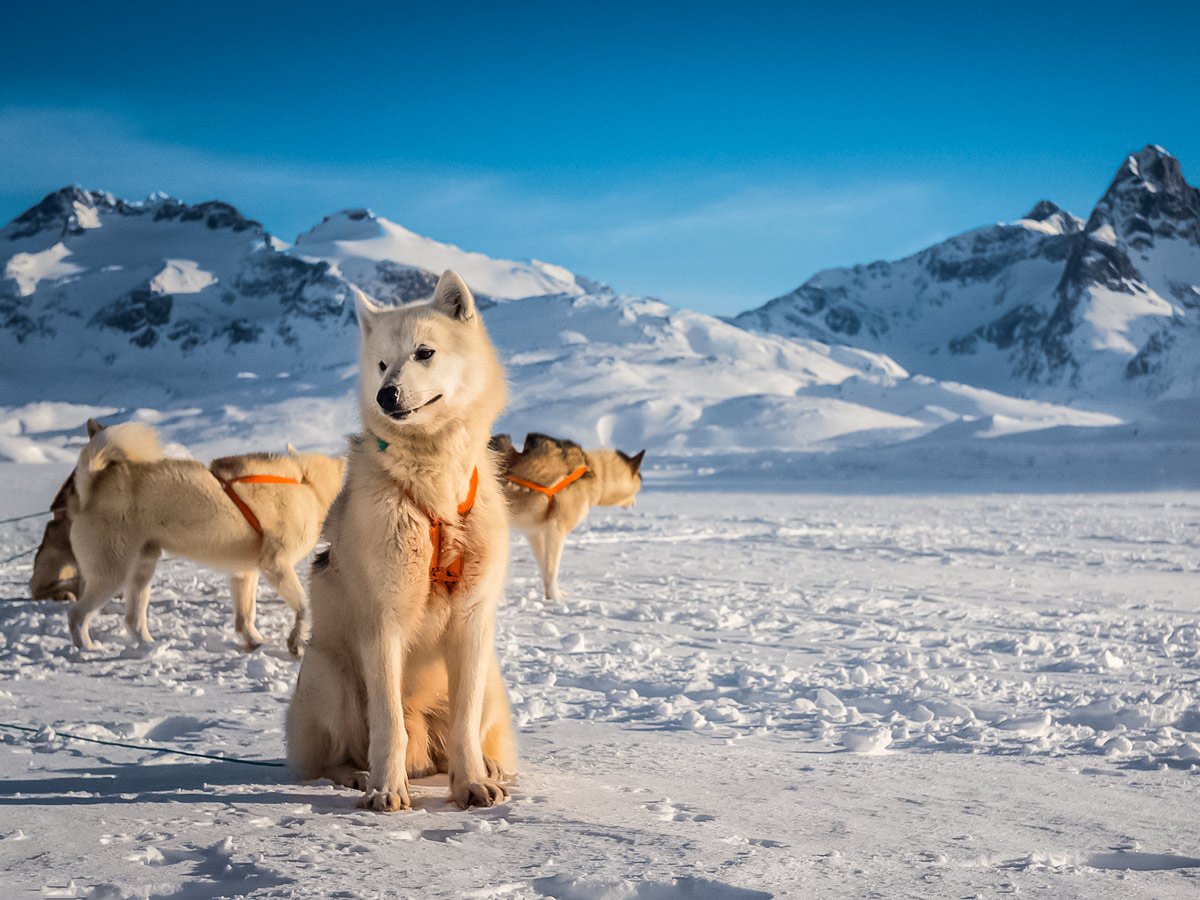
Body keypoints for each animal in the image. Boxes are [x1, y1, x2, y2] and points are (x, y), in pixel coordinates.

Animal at [64, 427, 343, 657]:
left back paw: (150, 648)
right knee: (76, 615)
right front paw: (295, 643)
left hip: (142, 571)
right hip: (112, 575)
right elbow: (305, 608)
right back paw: (86, 648)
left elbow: (245, 617)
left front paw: (254, 641)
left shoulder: (244, 573)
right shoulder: (276, 566)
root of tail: (93, 488)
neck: (309, 485)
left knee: (133, 620)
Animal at [290, 271, 520, 816]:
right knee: (337, 754)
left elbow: (464, 726)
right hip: (329, 672)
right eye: (380, 364)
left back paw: (489, 768)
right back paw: (358, 775)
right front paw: (386, 790)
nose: (386, 395)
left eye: (424, 353)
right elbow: (387, 724)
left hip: (491, 676)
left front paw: (472, 783)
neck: (435, 486)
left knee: (461, 737)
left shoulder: (473, 620)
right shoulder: (383, 621)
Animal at [496, 434, 648, 602]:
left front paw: (554, 594)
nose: (635, 503)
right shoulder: (557, 528)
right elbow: (552, 569)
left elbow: (545, 566)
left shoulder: (535, 532)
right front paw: (555, 598)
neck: (594, 471)